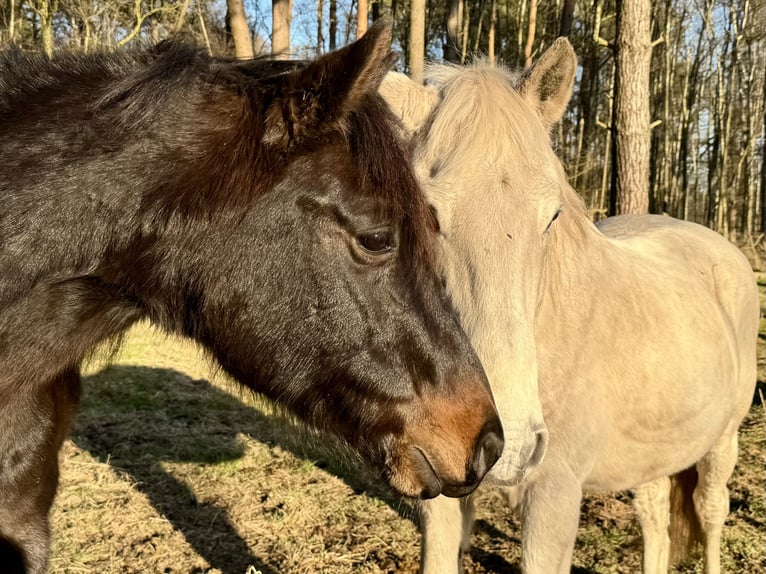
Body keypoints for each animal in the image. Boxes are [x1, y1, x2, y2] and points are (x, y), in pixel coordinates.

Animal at [380, 38, 759, 574]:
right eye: (426, 214)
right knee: (656, 520)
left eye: (552, 215)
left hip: (721, 444)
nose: (503, 445)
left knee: (709, 514)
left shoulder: (554, 499)